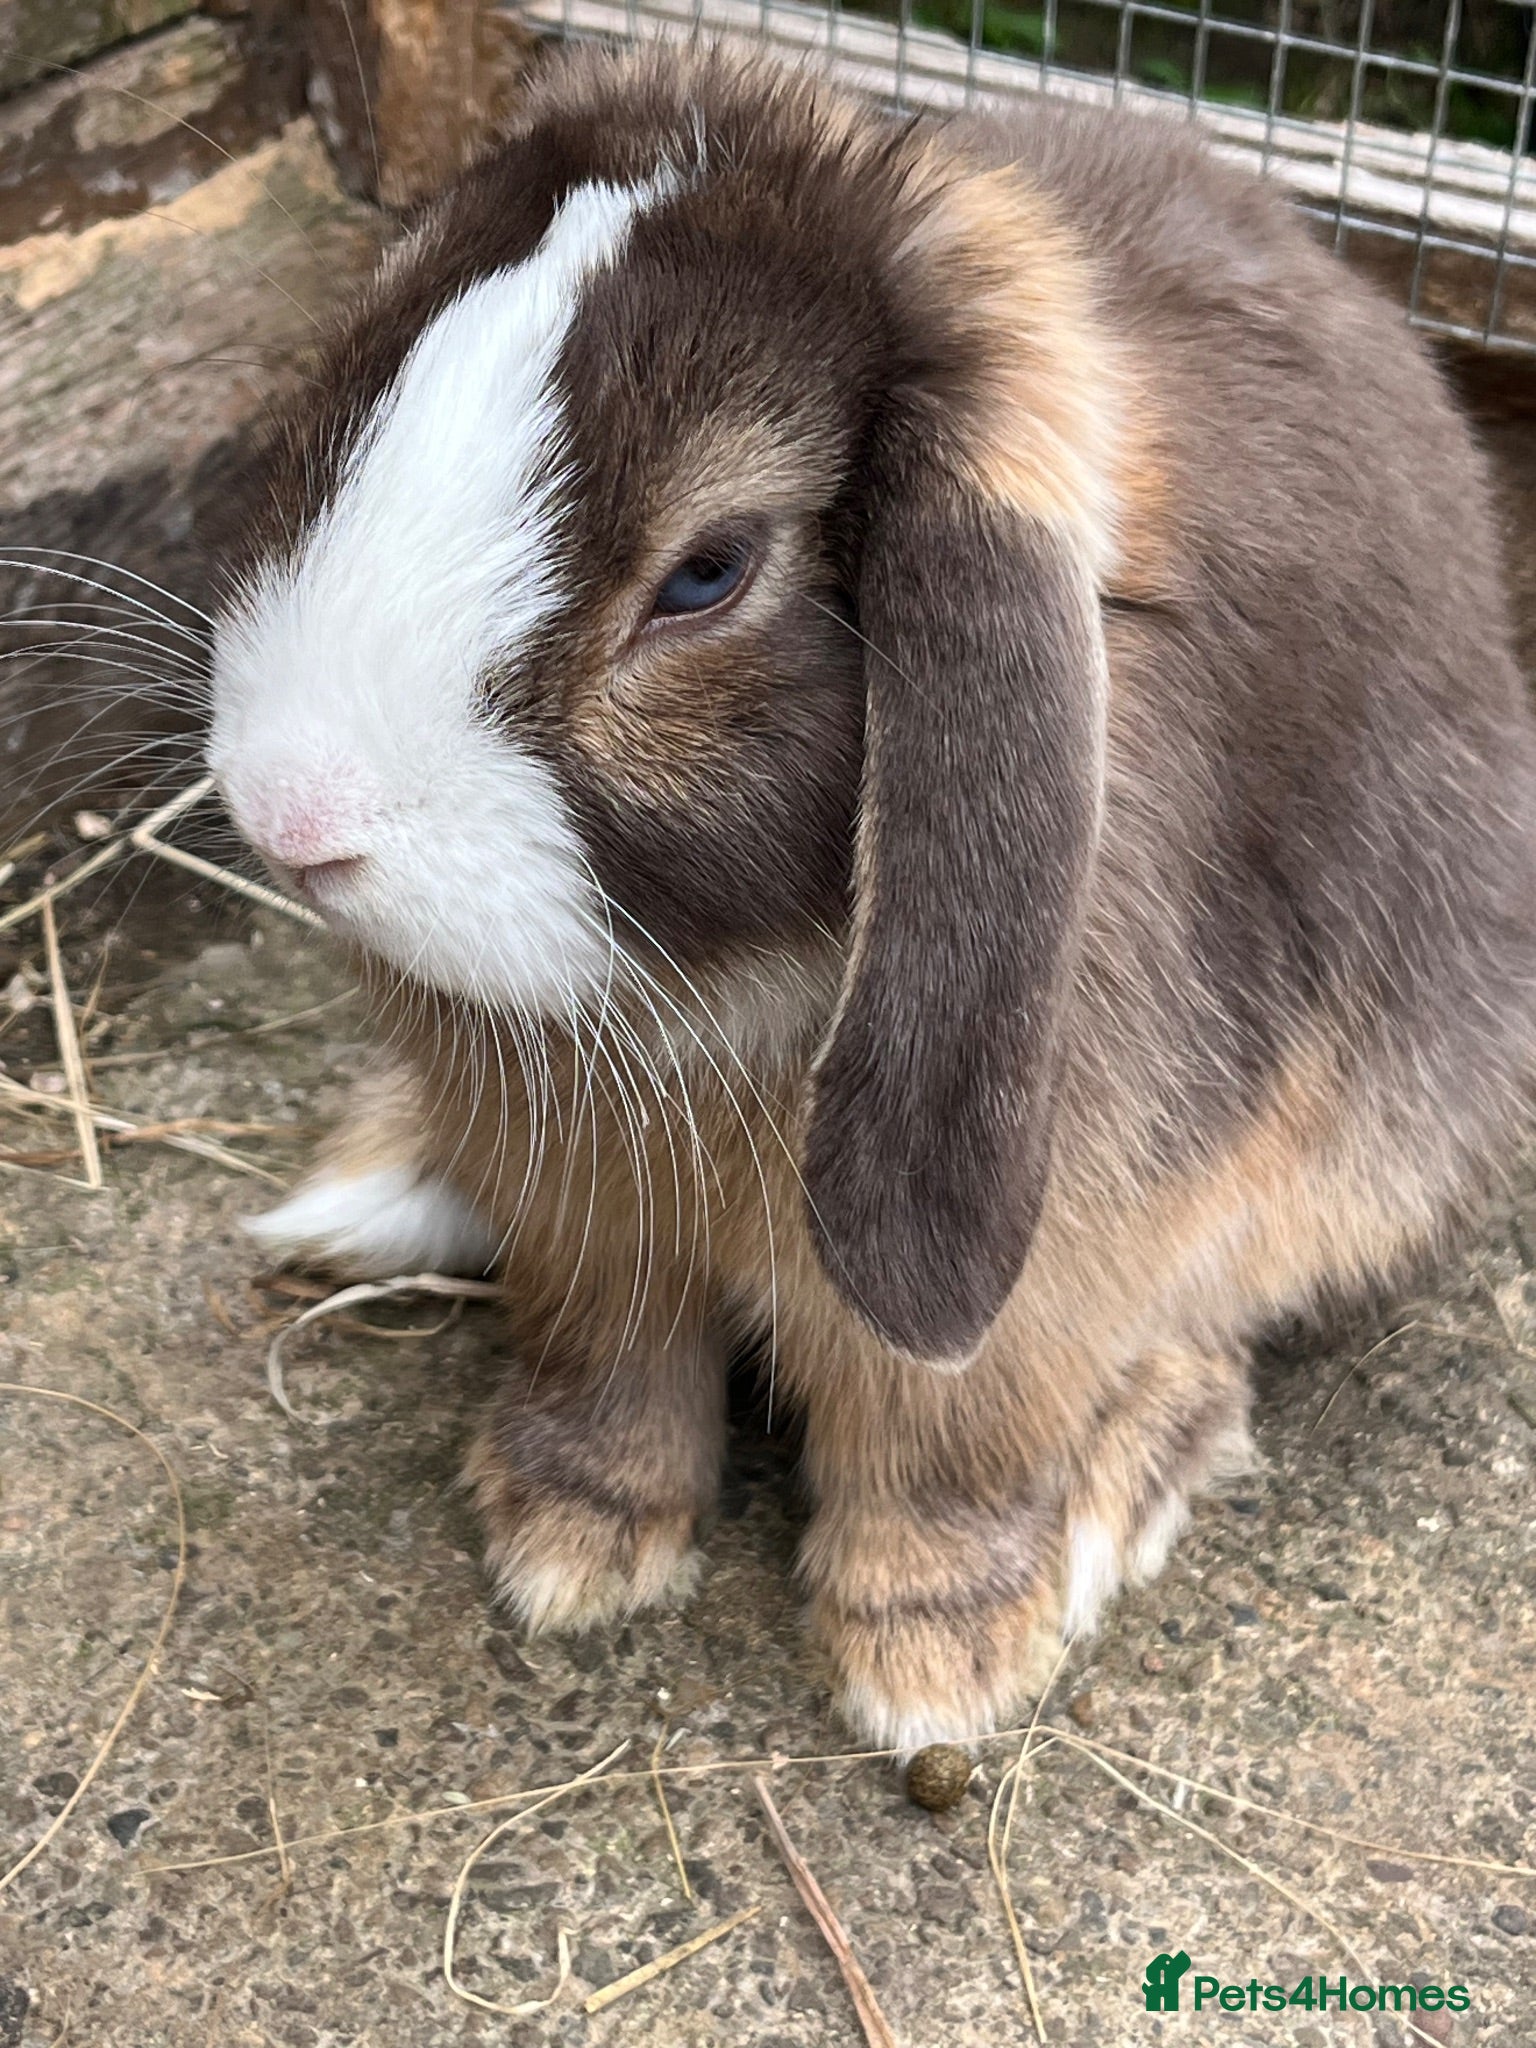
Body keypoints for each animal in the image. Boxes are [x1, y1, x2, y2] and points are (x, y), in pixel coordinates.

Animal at [206, 41, 1536, 1749]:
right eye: (355, 391)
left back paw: (1128, 1474)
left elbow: (945, 1426)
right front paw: (567, 1541)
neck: (720, 987)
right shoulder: (583, 1209)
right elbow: (601, 1348)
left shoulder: (1047, 1237)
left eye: (708, 573)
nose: (290, 807)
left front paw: (936, 1664)